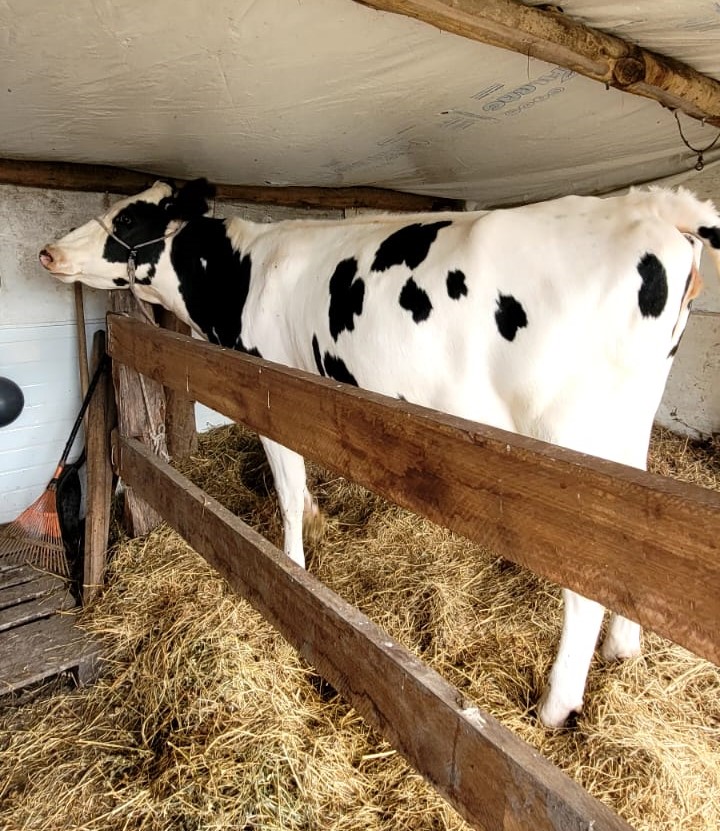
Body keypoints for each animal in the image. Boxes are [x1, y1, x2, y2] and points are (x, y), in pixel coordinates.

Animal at [39, 178, 720, 728]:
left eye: (130, 218)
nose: (48, 252)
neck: (244, 275)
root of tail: (649, 205)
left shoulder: (273, 388)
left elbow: (288, 487)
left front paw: (293, 563)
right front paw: (316, 524)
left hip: (572, 435)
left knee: (588, 578)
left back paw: (556, 704)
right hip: (627, 428)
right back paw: (623, 648)